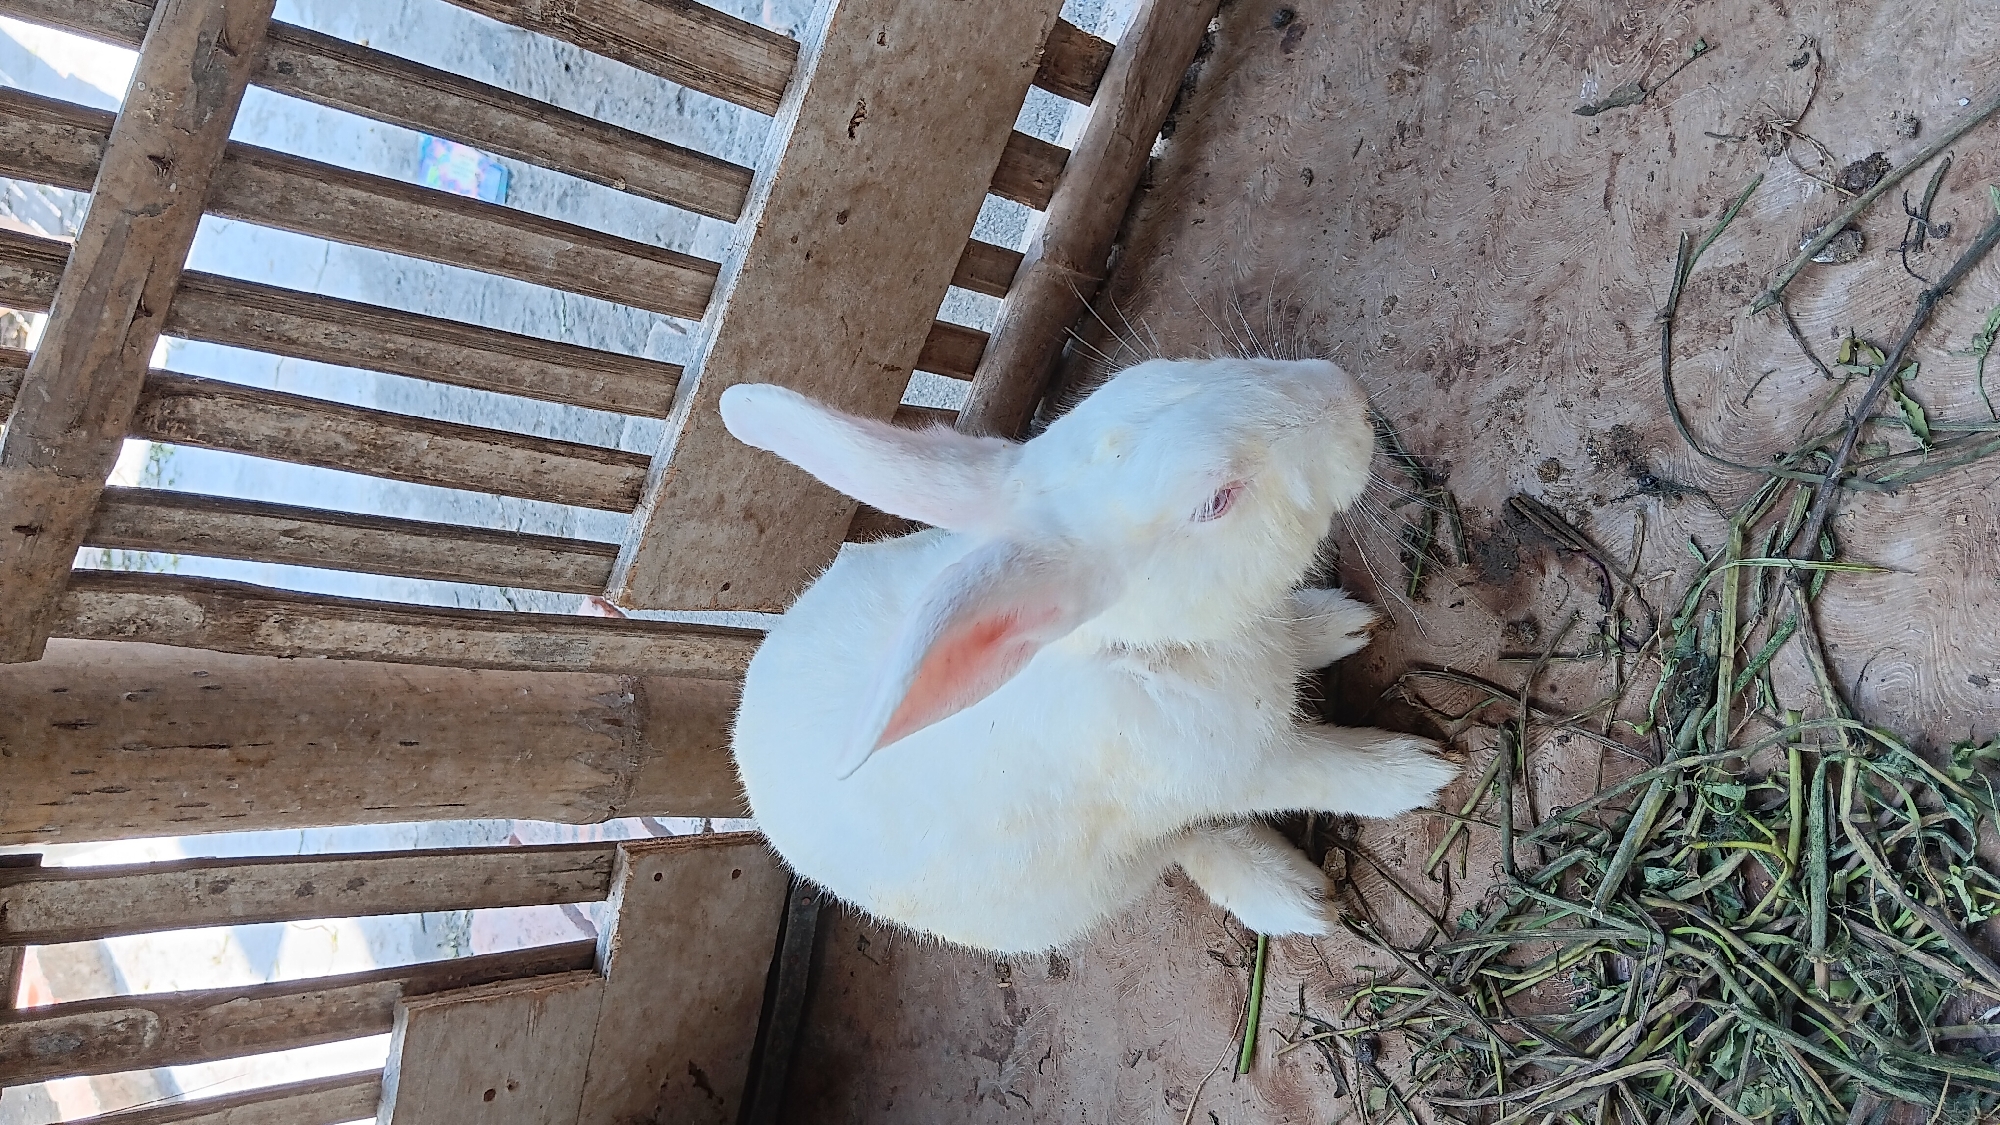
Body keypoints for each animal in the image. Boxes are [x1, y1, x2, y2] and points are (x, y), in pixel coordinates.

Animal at [719, 356, 1457, 954]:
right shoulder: (1243, 768)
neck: (1141, 647)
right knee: (1183, 843)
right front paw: (1421, 771)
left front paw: (1339, 625)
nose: (1346, 392)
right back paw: (1291, 897)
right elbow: (1326, 770)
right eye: (1216, 500)